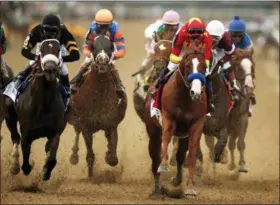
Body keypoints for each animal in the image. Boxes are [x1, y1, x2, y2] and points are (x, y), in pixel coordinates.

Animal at [4, 39, 66, 180]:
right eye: (41, 50)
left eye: (58, 49)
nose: (50, 69)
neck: (43, 104)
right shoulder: (26, 134)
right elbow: (26, 159)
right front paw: (25, 168)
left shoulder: (55, 132)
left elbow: (51, 158)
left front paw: (45, 171)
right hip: (9, 114)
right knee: (15, 137)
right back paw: (14, 166)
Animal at [68, 34, 127, 178]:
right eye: (93, 47)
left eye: (110, 46)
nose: (102, 61)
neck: (98, 94)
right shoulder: (86, 127)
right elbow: (90, 156)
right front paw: (90, 175)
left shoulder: (111, 125)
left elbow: (113, 158)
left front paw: (108, 155)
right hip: (75, 120)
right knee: (76, 133)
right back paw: (74, 156)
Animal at [144, 46, 208, 197]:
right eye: (188, 65)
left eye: (204, 67)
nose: (196, 92)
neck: (185, 99)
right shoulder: (168, 118)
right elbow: (166, 140)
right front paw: (164, 166)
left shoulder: (196, 124)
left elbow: (191, 155)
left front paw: (190, 188)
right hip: (153, 133)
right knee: (155, 159)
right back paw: (157, 190)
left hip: (183, 135)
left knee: (179, 156)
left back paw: (176, 181)